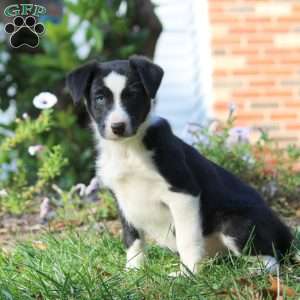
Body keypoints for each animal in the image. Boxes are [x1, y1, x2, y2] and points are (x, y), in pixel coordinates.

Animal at [67, 55, 294, 276]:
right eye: (100, 98)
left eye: (132, 95)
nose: (118, 127)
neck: (127, 149)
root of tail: (285, 231)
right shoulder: (122, 200)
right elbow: (132, 239)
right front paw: (133, 272)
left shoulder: (183, 193)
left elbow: (187, 239)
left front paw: (189, 275)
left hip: (235, 224)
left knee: (272, 259)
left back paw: (254, 271)